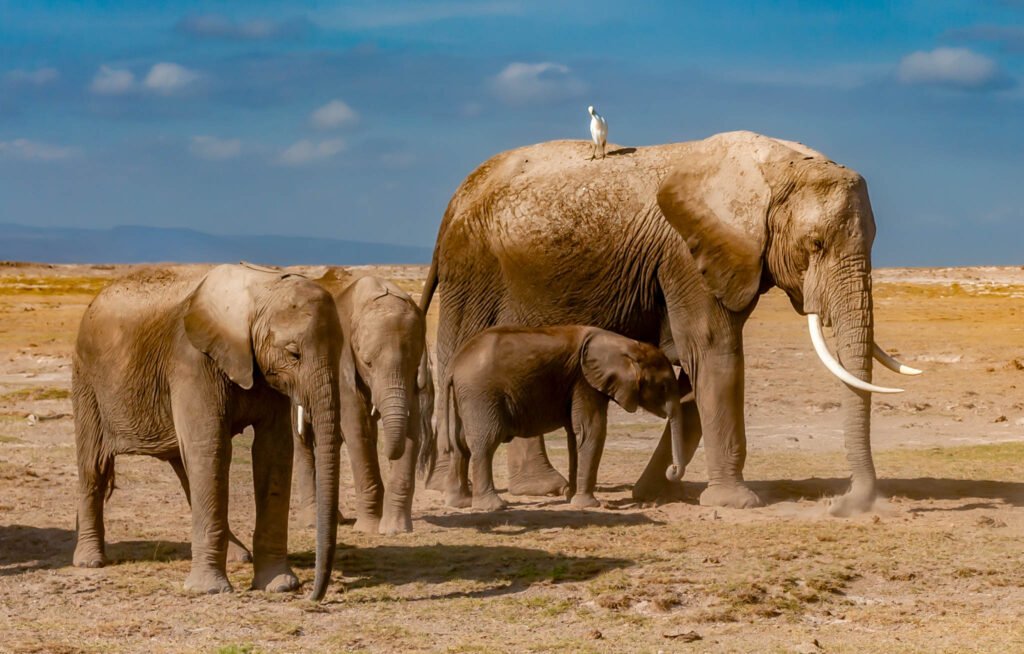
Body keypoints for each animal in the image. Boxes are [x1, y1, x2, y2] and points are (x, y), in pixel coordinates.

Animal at [73, 264, 344, 601]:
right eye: (294, 354)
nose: (313, 595)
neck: (260, 289)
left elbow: (274, 450)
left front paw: (279, 585)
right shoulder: (191, 360)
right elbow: (211, 448)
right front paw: (211, 590)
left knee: (186, 469)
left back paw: (239, 556)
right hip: (87, 380)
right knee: (93, 466)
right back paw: (90, 562)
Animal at [442, 327, 688, 511]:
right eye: (664, 386)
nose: (672, 469)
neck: (626, 344)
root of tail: (453, 366)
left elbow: (575, 435)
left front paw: (571, 497)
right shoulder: (585, 381)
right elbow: (592, 430)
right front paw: (588, 505)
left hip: (466, 398)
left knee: (460, 444)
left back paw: (460, 503)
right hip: (481, 394)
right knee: (485, 442)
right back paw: (493, 506)